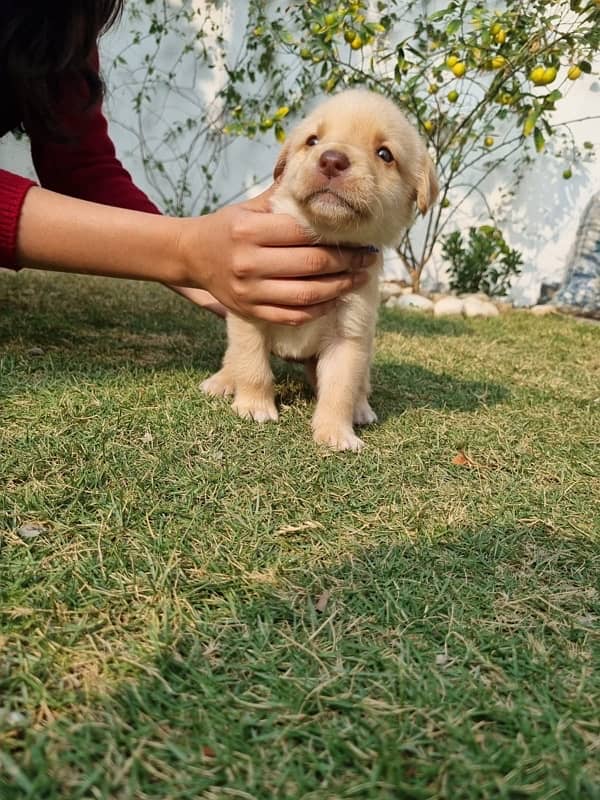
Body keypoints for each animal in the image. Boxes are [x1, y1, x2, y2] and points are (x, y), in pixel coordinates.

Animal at [200, 89, 436, 450]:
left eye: (385, 154)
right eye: (312, 141)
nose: (332, 160)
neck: (324, 239)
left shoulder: (349, 336)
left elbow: (340, 389)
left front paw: (336, 433)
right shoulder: (248, 312)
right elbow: (252, 365)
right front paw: (254, 406)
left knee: (360, 386)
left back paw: (361, 410)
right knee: (234, 358)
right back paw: (222, 381)